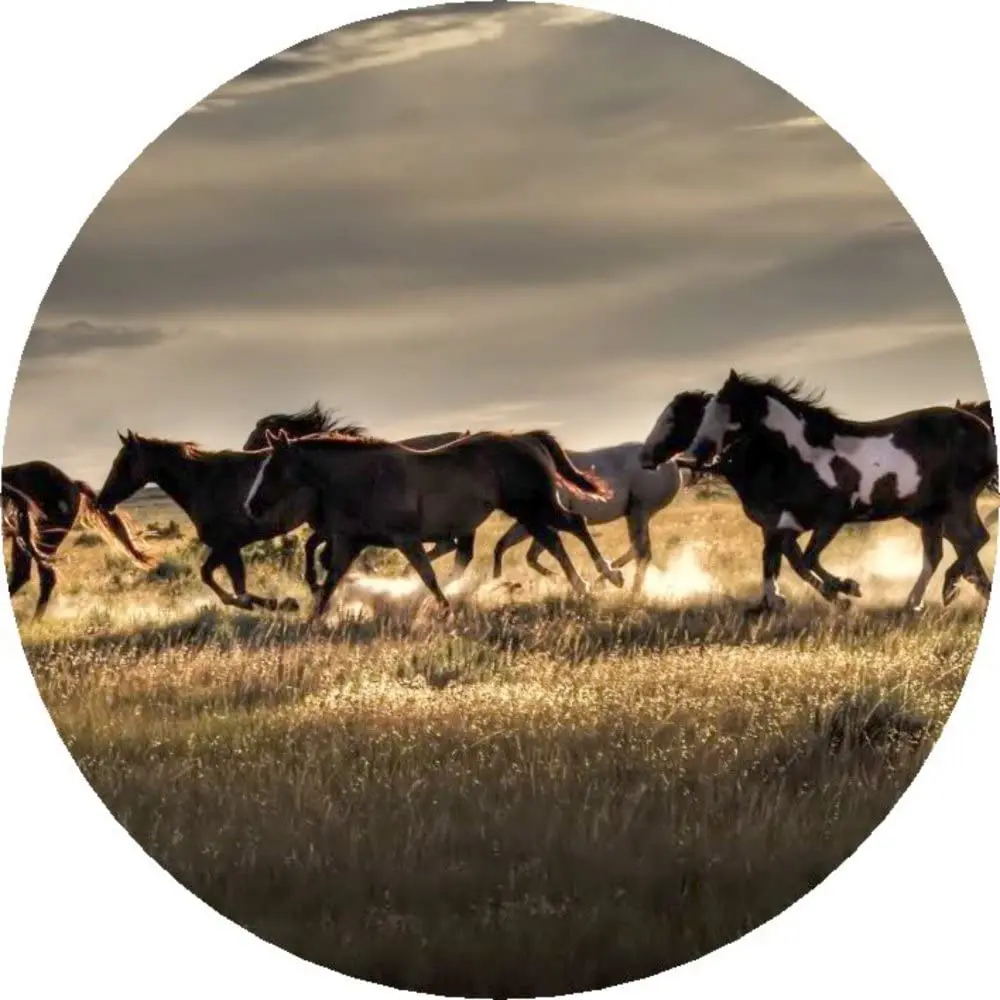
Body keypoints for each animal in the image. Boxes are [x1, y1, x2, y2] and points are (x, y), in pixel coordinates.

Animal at [243, 428, 625, 621]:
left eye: (273, 467)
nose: (251, 505)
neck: (366, 477)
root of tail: (526, 439)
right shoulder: (351, 541)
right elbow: (331, 579)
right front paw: (314, 619)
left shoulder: (405, 539)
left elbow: (427, 574)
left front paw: (443, 609)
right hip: (529, 512)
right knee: (556, 538)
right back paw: (588, 583)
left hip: (533, 507)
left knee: (573, 526)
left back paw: (605, 576)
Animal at [684, 371, 996, 613]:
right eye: (706, 413)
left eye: (727, 411)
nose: (695, 456)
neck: (806, 456)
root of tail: (980, 427)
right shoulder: (787, 522)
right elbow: (781, 557)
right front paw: (833, 592)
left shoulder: (830, 519)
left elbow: (805, 558)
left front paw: (847, 588)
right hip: (931, 511)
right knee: (941, 551)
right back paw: (918, 602)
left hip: (957, 500)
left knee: (974, 539)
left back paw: (948, 588)